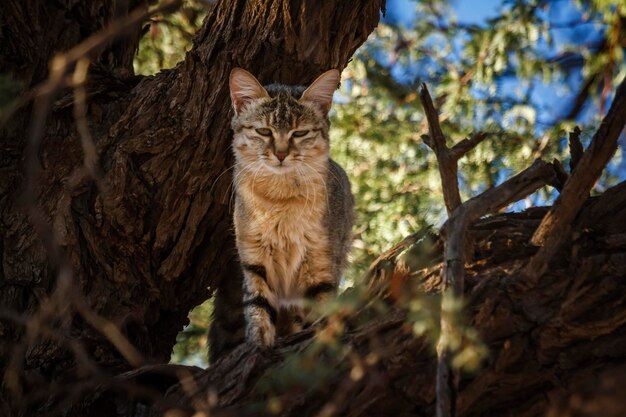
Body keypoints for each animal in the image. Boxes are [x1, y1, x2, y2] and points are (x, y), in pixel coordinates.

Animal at [228, 68, 356, 346]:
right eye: (264, 131)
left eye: (299, 133)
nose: (281, 154)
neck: (280, 199)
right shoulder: (254, 259)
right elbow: (258, 305)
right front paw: (259, 342)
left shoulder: (320, 263)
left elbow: (320, 310)